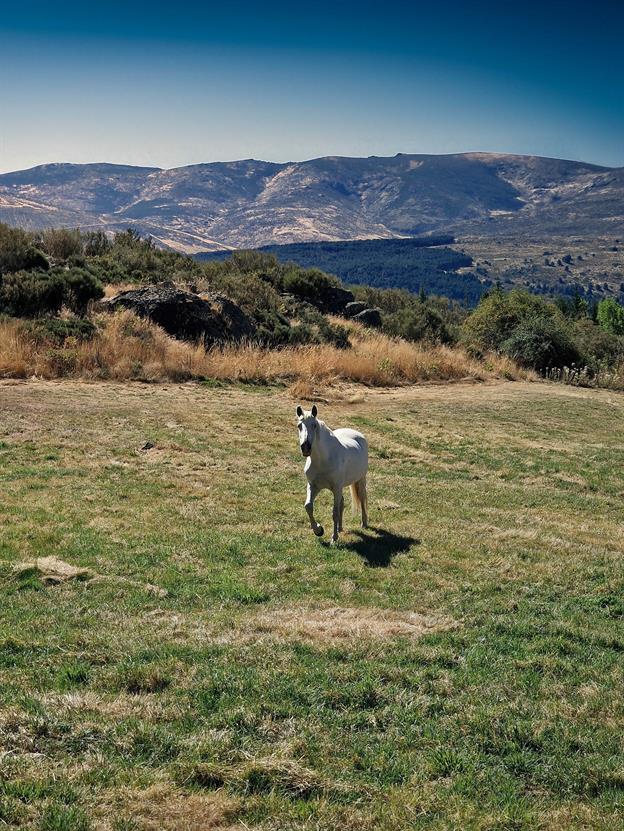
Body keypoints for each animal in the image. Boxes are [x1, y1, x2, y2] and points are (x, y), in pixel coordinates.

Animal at [296, 404, 368, 544]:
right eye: (299, 425)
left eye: (314, 425)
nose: (306, 447)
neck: (323, 460)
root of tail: (358, 435)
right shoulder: (313, 486)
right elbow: (308, 506)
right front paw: (318, 530)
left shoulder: (336, 488)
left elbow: (334, 512)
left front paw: (333, 538)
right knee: (342, 502)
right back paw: (340, 528)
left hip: (360, 480)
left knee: (362, 498)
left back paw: (364, 523)